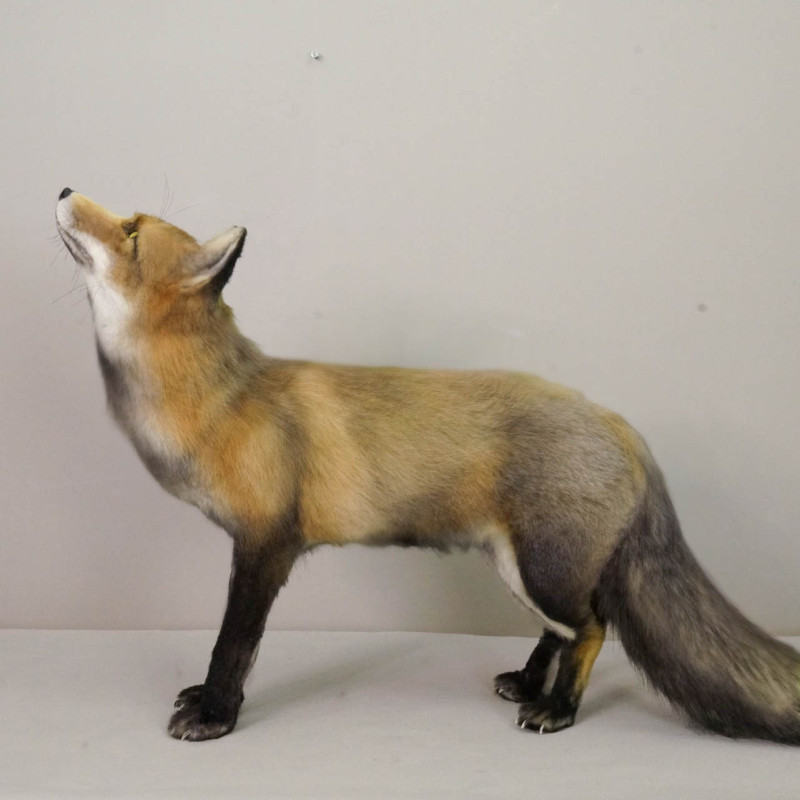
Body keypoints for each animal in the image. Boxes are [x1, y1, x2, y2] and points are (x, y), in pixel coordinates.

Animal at [55, 187, 800, 744]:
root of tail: (619, 423)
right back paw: (527, 684)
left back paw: (558, 710)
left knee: (592, 629)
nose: (63, 188)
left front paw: (215, 713)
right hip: (521, 568)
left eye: (130, 231)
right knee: (558, 632)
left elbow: (232, 644)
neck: (215, 401)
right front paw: (209, 700)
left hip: (544, 570)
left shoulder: (266, 545)